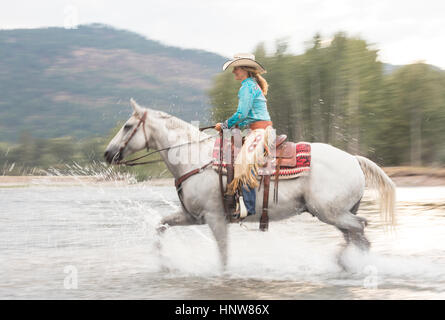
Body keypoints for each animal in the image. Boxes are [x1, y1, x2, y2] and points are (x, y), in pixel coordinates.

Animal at [105, 99, 396, 268]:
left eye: (128, 125)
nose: (108, 153)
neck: (196, 158)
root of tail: (354, 159)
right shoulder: (193, 216)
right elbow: (161, 225)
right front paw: (162, 261)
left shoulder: (215, 218)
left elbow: (223, 256)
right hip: (337, 213)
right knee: (355, 235)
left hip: (331, 213)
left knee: (360, 230)